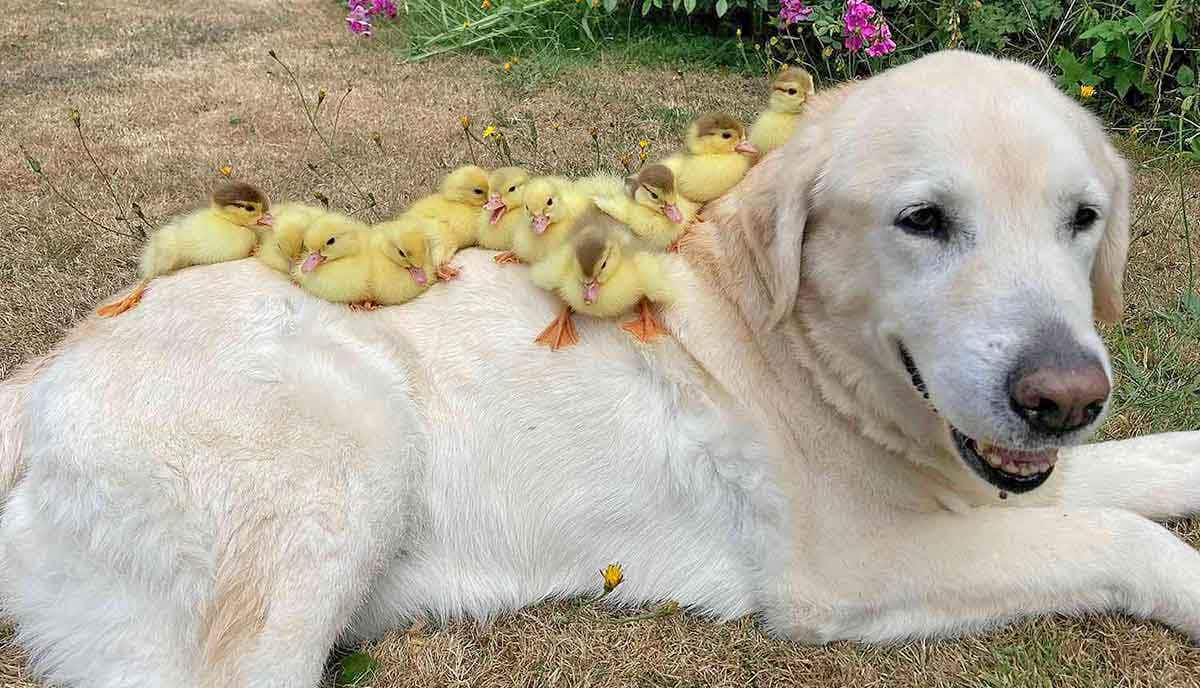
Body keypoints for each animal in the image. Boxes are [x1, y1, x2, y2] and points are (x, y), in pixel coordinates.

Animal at [2, 49, 1200, 686]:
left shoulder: (987, 485)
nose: (1065, 398)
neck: (798, 348)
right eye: (924, 221)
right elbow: (1123, 534)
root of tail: (42, 371)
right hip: (347, 460)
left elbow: (1138, 470)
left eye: (1083, 219)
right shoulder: (852, 570)